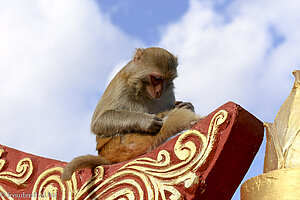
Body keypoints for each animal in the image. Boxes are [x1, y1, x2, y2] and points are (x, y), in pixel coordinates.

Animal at [61, 47, 202, 180]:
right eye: (156, 78)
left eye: (167, 80)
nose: (159, 92)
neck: (143, 90)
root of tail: (106, 156)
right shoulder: (123, 85)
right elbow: (98, 122)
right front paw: (146, 121)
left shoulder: (168, 92)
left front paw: (187, 105)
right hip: (120, 146)